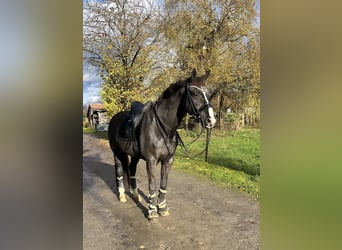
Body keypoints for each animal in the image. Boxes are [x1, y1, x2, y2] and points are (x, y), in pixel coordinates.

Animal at [107, 69, 216, 219]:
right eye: (194, 93)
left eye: (208, 93)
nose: (211, 120)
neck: (163, 128)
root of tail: (114, 118)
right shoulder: (151, 161)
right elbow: (152, 185)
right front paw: (152, 211)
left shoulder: (168, 160)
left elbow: (163, 184)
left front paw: (162, 208)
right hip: (117, 152)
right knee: (119, 170)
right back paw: (122, 196)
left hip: (134, 155)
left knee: (132, 170)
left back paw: (135, 196)